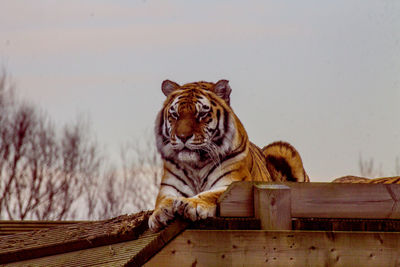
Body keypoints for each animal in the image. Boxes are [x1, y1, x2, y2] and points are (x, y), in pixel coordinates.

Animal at [148, 79, 308, 232]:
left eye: (201, 114)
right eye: (175, 115)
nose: (182, 137)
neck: (196, 165)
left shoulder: (233, 183)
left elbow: (211, 194)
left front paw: (190, 203)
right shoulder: (168, 187)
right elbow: (163, 200)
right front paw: (159, 214)